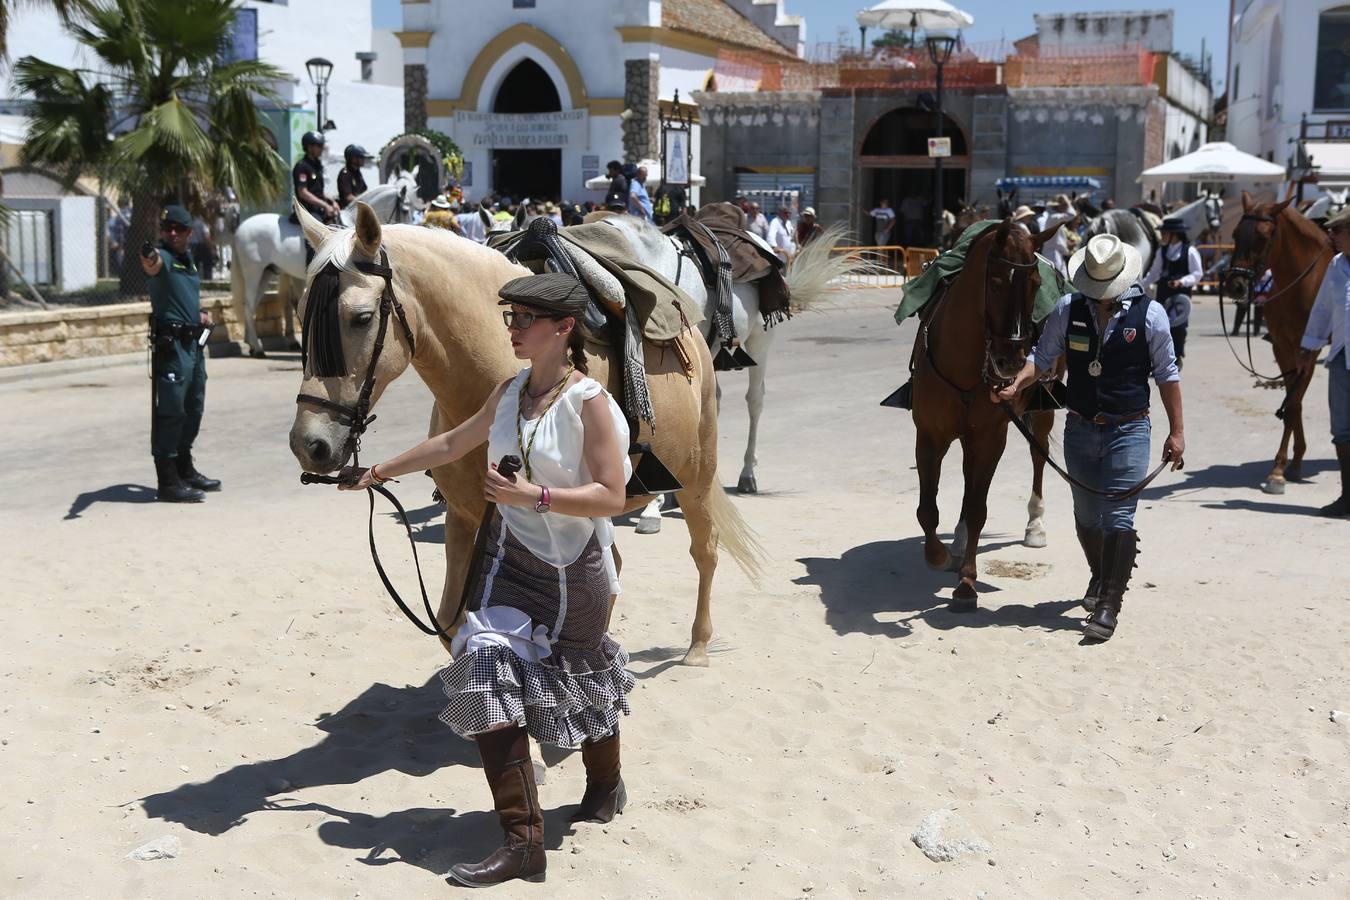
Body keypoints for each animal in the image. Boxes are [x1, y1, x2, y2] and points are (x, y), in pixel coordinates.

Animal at [229, 168, 421, 356]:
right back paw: (257, 347)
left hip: (267, 272)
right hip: (254, 272)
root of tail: (240, 228)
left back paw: (255, 343)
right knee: (249, 305)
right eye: (406, 209)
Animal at [286, 206, 766, 669]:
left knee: (704, 550)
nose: (309, 444)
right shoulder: (462, 517)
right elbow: (451, 622)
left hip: (695, 477)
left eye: (361, 318)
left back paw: (697, 647)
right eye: (302, 314)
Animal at [912, 221, 1058, 609]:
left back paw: (1035, 525)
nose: (1012, 362)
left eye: (1035, 283)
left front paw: (967, 582)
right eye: (995, 282)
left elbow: (979, 508)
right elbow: (927, 509)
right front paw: (938, 555)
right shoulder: (929, 434)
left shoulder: (992, 437)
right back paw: (959, 540)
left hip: (1040, 412)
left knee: (1039, 455)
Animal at [1225, 192, 1328, 496]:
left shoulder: (1309, 349)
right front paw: (1291, 463)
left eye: (1262, 237)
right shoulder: (1282, 346)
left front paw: (1279, 471)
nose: (1235, 285)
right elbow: (1294, 403)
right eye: (1235, 234)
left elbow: (1293, 402)